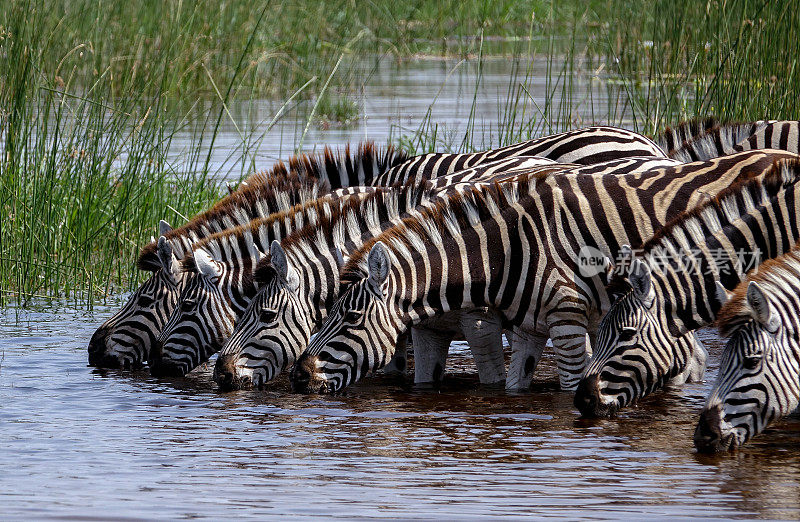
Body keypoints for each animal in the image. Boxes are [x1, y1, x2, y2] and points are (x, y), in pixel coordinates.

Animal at [290, 149, 800, 390]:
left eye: (350, 318)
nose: (298, 376)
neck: (503, 248)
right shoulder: (530, 326)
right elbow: (515, 386)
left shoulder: (567, 321)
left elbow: (569, 384)